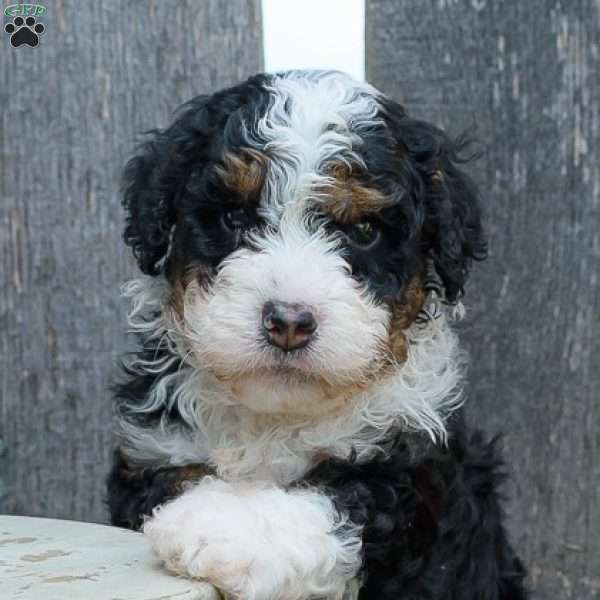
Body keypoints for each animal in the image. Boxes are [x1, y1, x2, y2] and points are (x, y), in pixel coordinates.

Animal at [105, 68, 528, 596]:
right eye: (234, 217)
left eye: (364, 231)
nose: (289, 322)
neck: (278, 417)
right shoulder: (149, 456)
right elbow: (178, 478)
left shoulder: (412, 473)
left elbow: (343, 496)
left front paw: (222, 526)